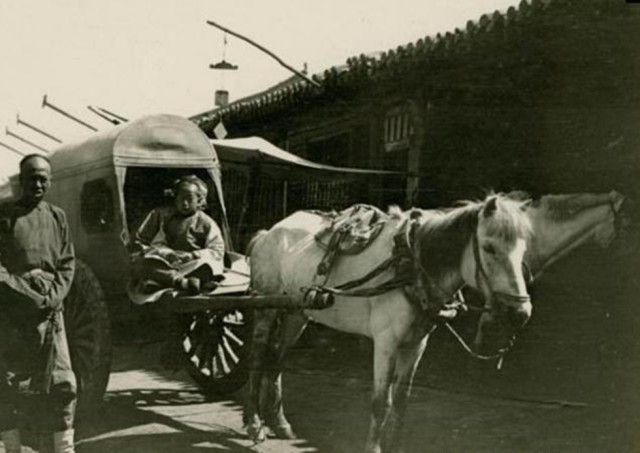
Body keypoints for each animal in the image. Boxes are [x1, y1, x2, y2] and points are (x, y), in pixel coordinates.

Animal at [244, 192, 528, 450]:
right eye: (489, 247)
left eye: (524, 250)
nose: (521, 312)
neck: (411, 265)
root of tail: (269, 232)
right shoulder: (386, 342)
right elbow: (381, 403)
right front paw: (374, 447)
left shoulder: (416, 344)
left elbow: (401, 401)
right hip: (266, 307)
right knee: (258, 358)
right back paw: (253, 422)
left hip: (297, 312)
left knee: (278, 358)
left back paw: (279, 423)